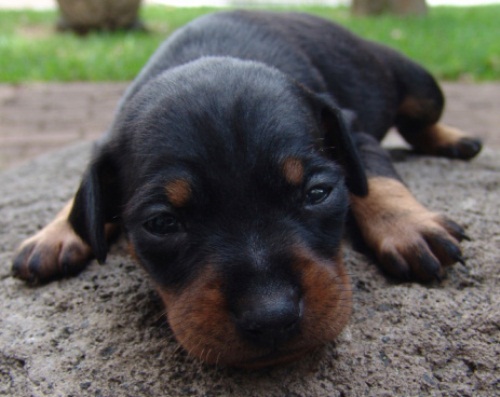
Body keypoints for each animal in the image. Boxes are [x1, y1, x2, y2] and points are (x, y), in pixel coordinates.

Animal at [11, 10, 480, 368]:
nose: (272, 317)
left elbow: (374, 179)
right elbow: (82, 192)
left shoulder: (356, 132)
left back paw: (457, 139)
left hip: (419, 85)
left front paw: (410, 227)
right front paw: (55, 233)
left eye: (317, 193)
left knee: (420, 122)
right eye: (161, 223)